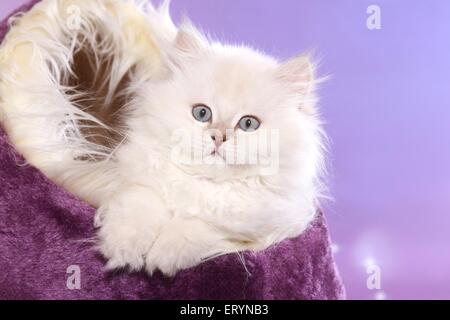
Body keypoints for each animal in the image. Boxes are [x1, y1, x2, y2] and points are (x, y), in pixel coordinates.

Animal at [0, 0, 324, 276]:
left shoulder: (256, 226)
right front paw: (124, 253)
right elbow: (141, 209)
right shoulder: (136, 183)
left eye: (248, 124)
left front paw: (161, 259)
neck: (198, 184)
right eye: (202, 113)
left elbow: (196, 226)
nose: (218, 137)